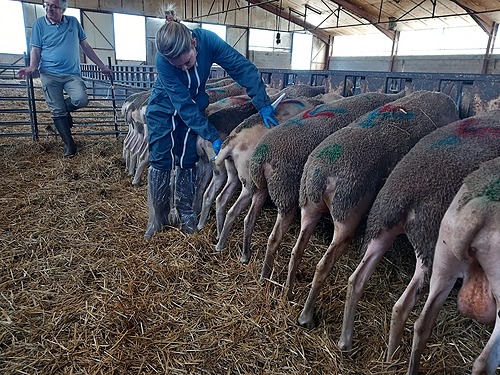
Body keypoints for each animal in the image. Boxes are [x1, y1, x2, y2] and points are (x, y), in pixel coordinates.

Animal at [242, 92, 406, 270]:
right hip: (288, 193)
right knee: (278, 238)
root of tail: (262, 158)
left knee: (250, 219)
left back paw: (246, 256)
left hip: (261, 187)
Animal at [290, 92, 460, 334]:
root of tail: (322, 174)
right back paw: (307, 316)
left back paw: (288, 290)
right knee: (323, 264)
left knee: (297, 249)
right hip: (347, 214)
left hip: (309, 206)